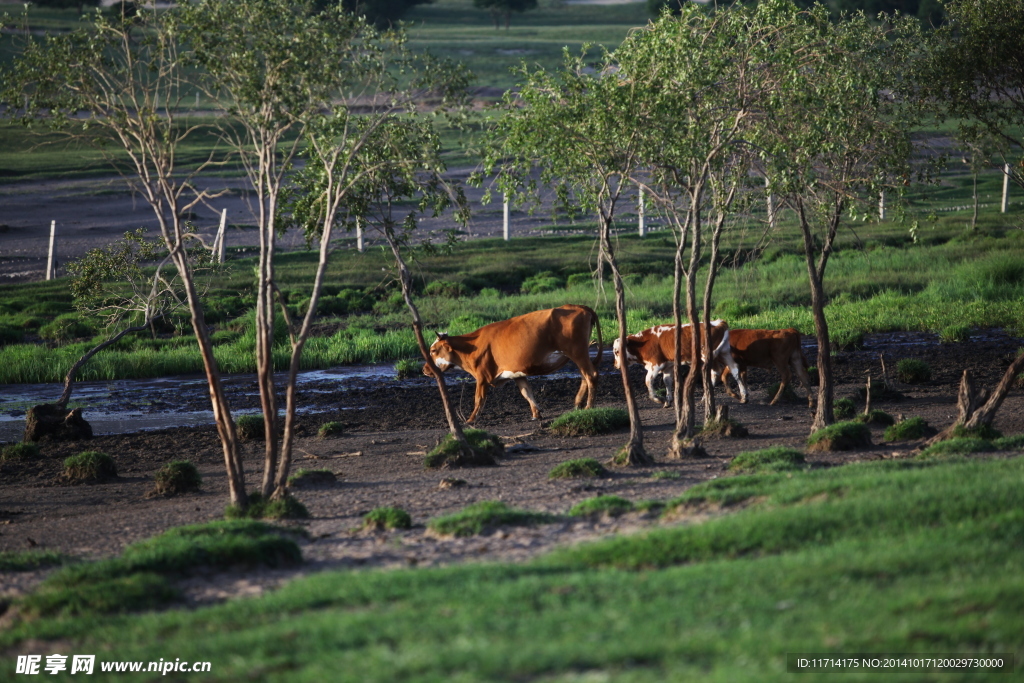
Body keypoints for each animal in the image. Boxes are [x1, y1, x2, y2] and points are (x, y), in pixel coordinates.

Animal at [421, 305, 598, 421]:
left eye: (433, 350)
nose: (424, 369)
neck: (471, 346)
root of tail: (578, 306)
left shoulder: (482, 377)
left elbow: (479, 399)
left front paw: (470, 420)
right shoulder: (517, 373)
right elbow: (526, 392)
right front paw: (536, 413)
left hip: (577, 352)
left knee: (591, 375)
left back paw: (589, 406)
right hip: (577, 355)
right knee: (584, 376)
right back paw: (577, 404)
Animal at [610, 321, 749, 405]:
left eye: (617, 351)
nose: (616, 365)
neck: (644, 343)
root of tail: (718, 323)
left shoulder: (656, 365)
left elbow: (648, 381)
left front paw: (658, 399)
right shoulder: (668, 366)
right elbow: (667, 381)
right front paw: (668, 400)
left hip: (708, 356)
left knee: (715, 372)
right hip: (724, 353)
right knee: (735, 371)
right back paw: (743, 396)